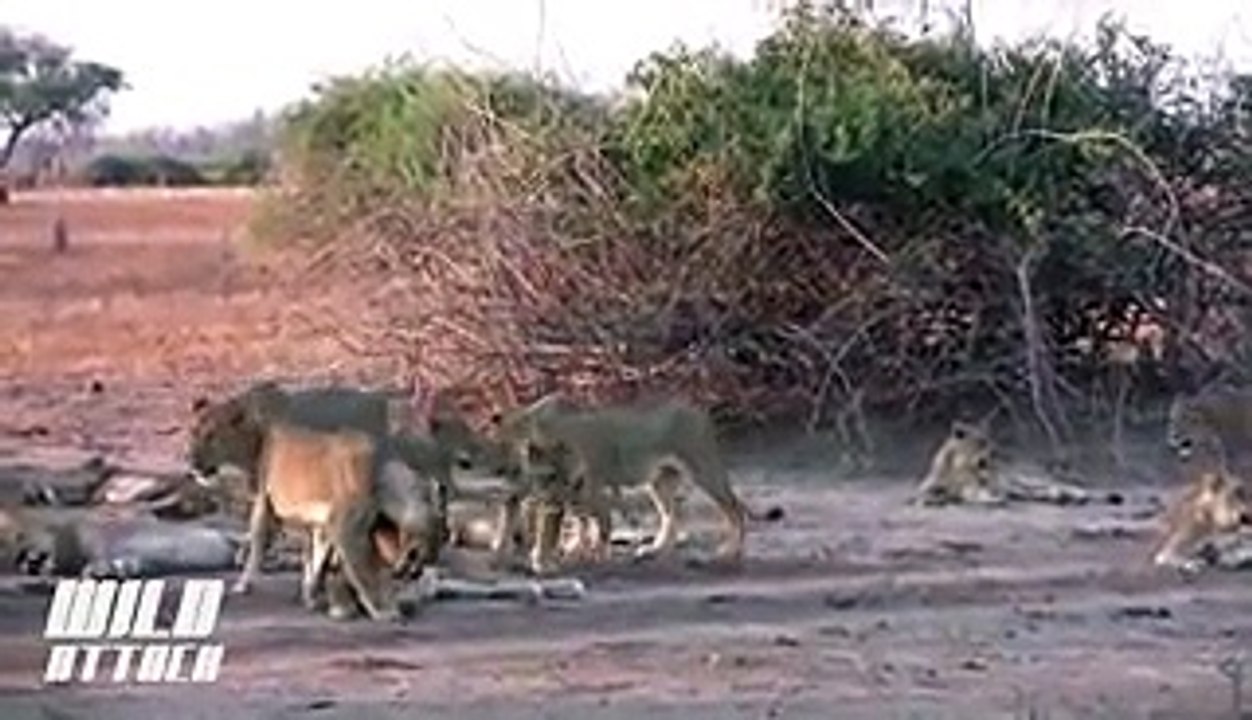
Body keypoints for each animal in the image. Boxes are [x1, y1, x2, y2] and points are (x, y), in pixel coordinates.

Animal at [489, 394, 782, 573]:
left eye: (556, 476)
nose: (505, 470)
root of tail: (699, 412)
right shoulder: (543, 492)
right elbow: (515, 522)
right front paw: (502, 553)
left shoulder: (576, 488)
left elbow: (569, 525)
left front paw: (548, 559)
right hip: (660, 481)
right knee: (671, 516)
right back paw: (654, 549)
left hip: (704, 469)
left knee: (735, 510)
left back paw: (729, 553)